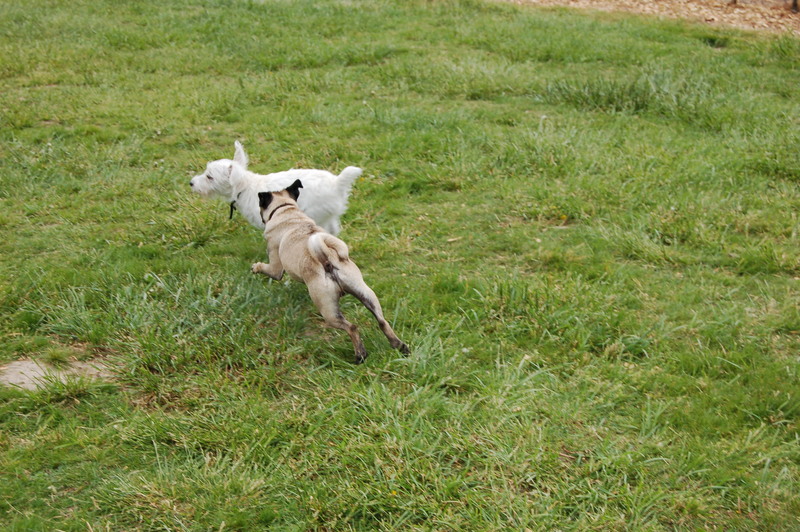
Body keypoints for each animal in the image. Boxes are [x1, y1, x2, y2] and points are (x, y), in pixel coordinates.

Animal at [251, 180, 409, 364]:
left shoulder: (275, 266)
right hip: (365, 293)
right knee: (382, 321)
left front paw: (256, 267)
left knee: (352, 327)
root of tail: (327, 259)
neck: (287, 211)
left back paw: (360, 355)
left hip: (327, 309)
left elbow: (268, 269)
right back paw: (399, 346)